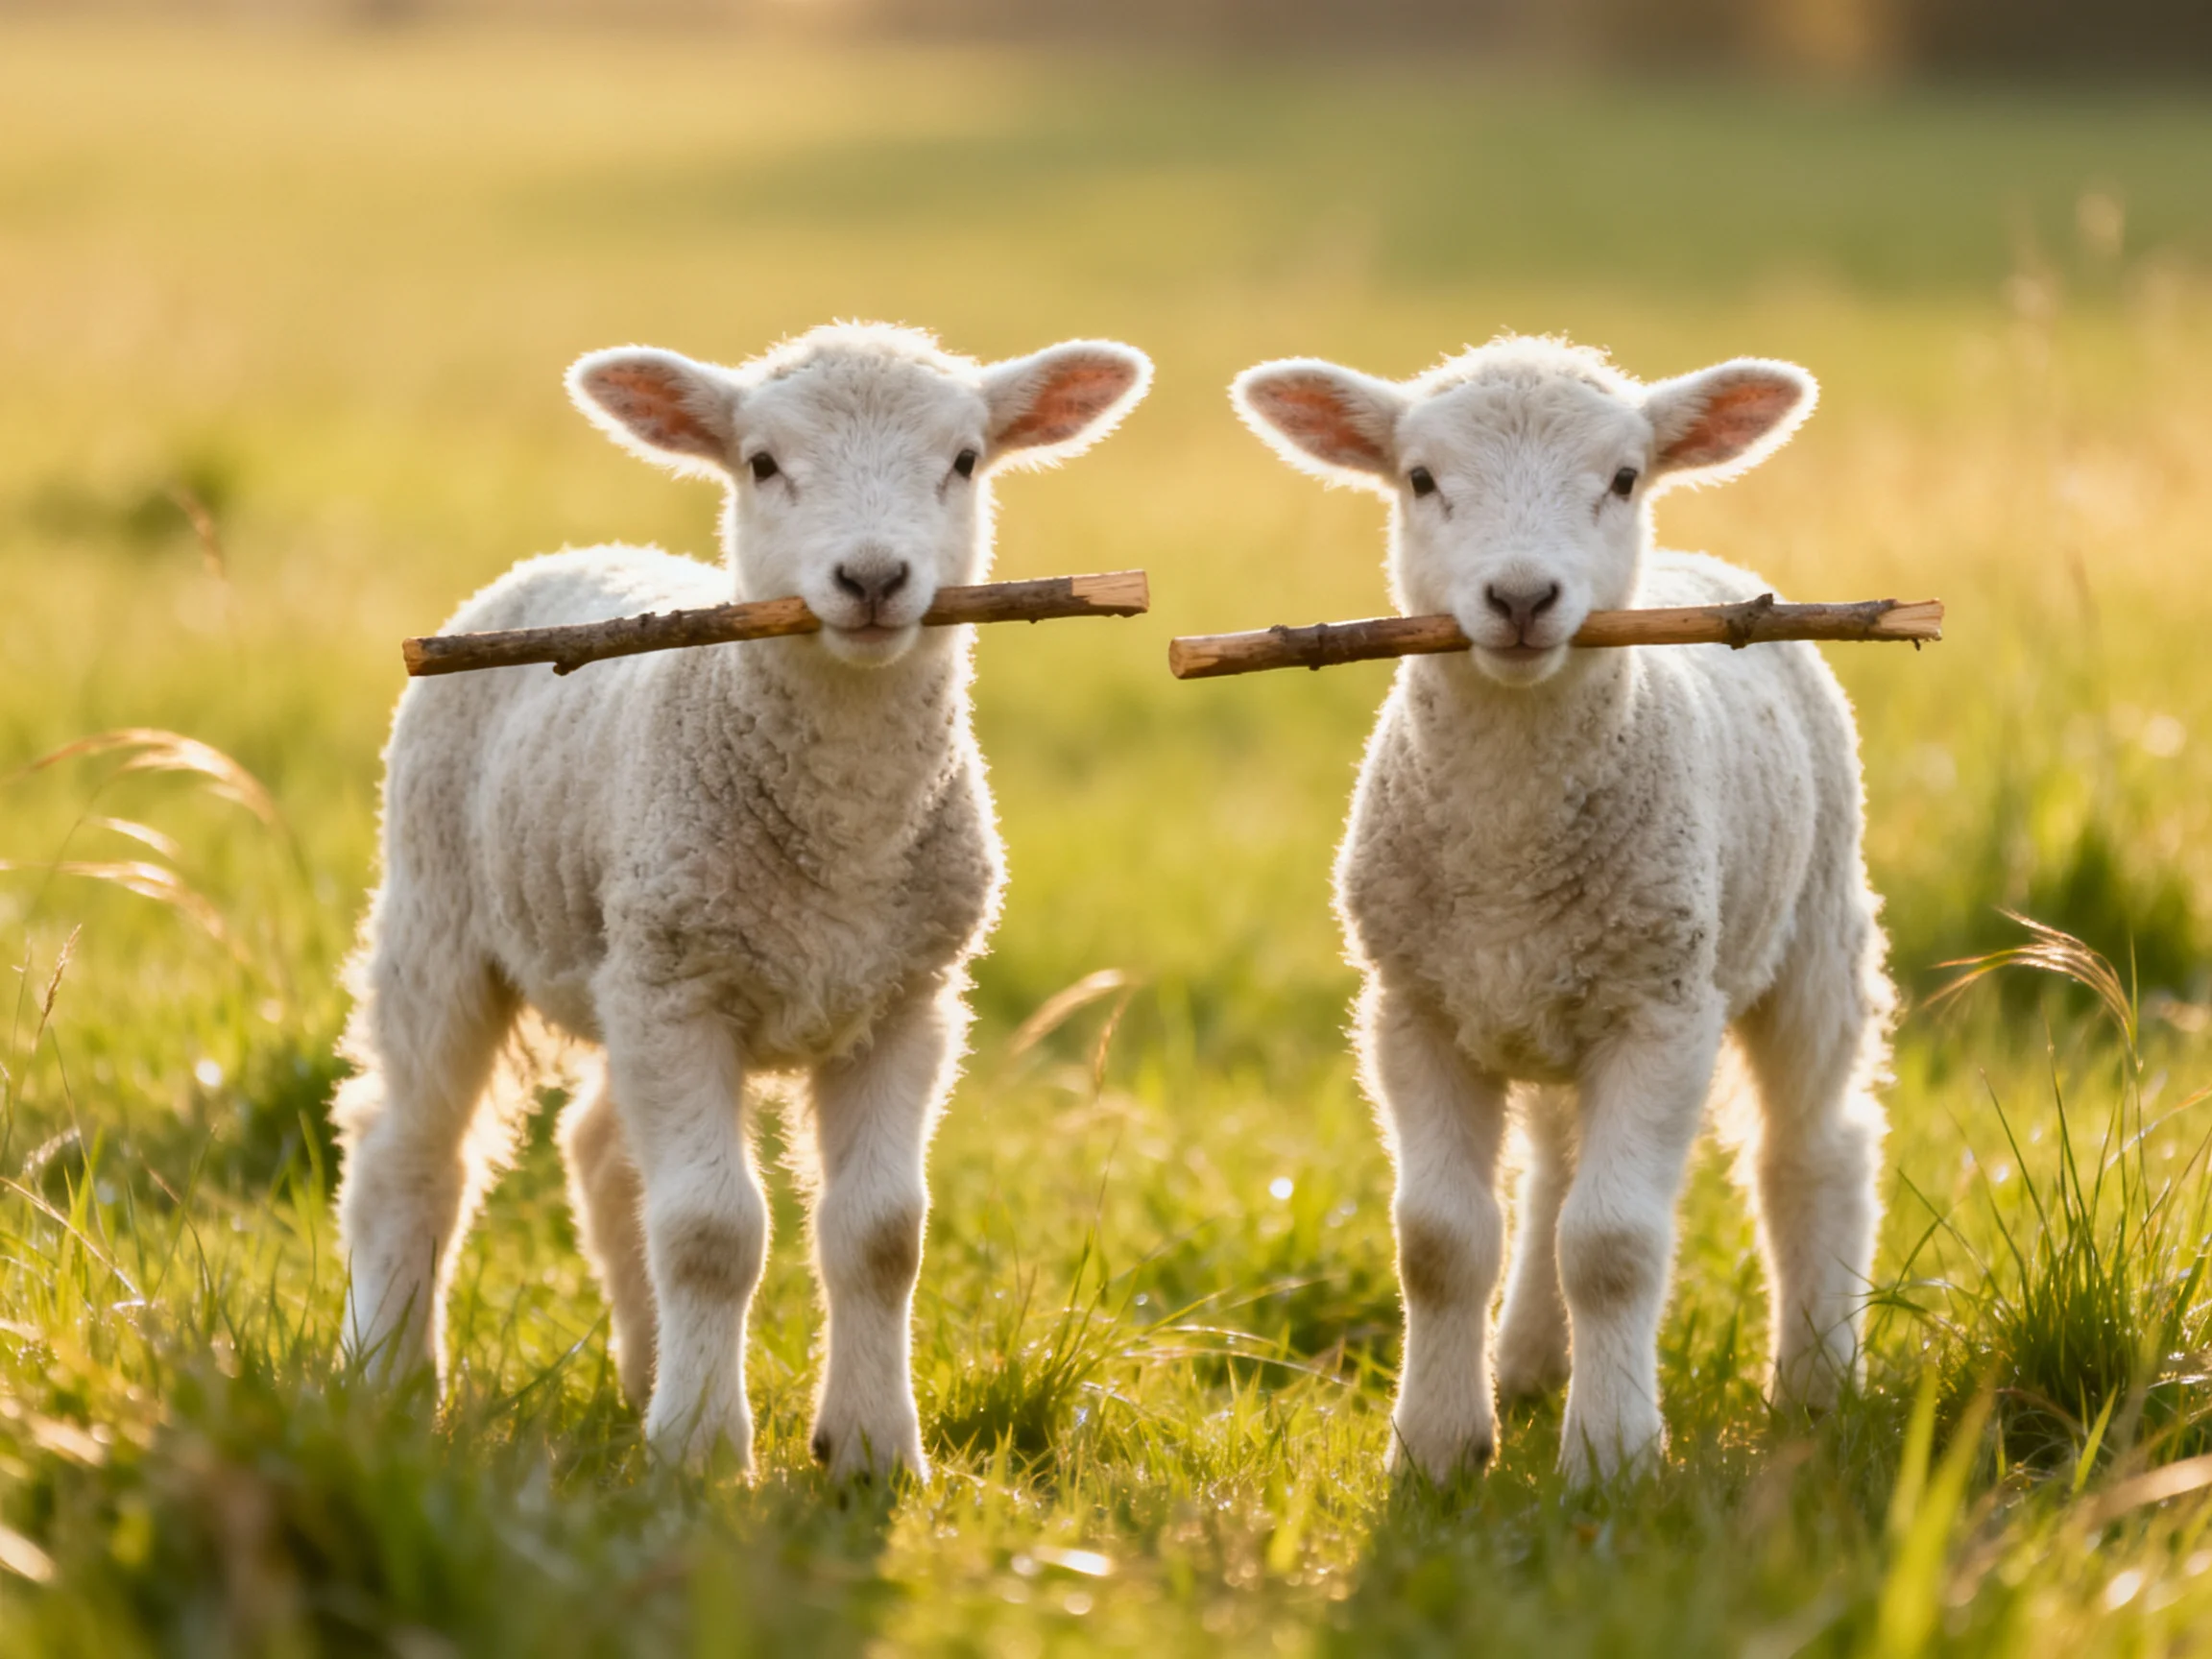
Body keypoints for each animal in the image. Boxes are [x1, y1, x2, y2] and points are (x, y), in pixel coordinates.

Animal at [334, 322, 1152, 1481]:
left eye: (964, 461)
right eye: (762, 463)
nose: (872, 577)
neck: (844, 841)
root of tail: (570, 553)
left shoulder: (906, 996)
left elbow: (881, 1232)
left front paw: (871, 1451)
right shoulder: (680, 986)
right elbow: (712, 1232)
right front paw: (703, 1452)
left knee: (601, 1154)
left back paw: (643, 1372)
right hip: (442, 909)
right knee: (408, 1151)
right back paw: (391, 1378)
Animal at [1231, 335, 1892, 1487]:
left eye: (1624, 478)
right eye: (1420, 478)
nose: (1522, 596)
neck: (1510, 848)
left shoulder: (1662, 1009)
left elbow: (1615, 1245)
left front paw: (1613, 1457)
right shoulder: (1414, 1007)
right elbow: (1440, 1241)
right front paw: (1437, 1448)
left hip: (1811, 927)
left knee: (1816, 1147)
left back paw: (1814, 1381)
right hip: (1540, 998)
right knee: (1551, 1169)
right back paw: (1532, 1362)